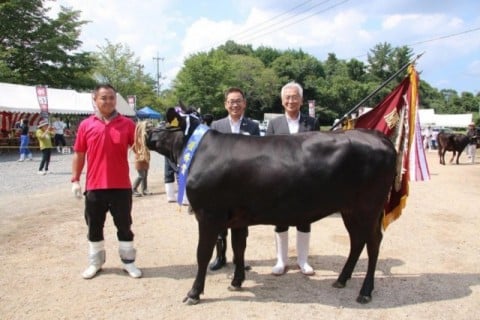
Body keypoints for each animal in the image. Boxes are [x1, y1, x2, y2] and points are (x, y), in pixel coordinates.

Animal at [146, 107, 398, 304]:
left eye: (164, 122)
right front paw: (237, 281)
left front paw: (194, 293)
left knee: (373, 243)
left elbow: (202, 254)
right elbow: (239, 248)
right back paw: (341, 280)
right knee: (357, 241)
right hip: (350, 210)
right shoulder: (237, 217)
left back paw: (365, 292)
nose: (147, 130)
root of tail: (377, 137)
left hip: (368, 207)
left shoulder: (208, 214)